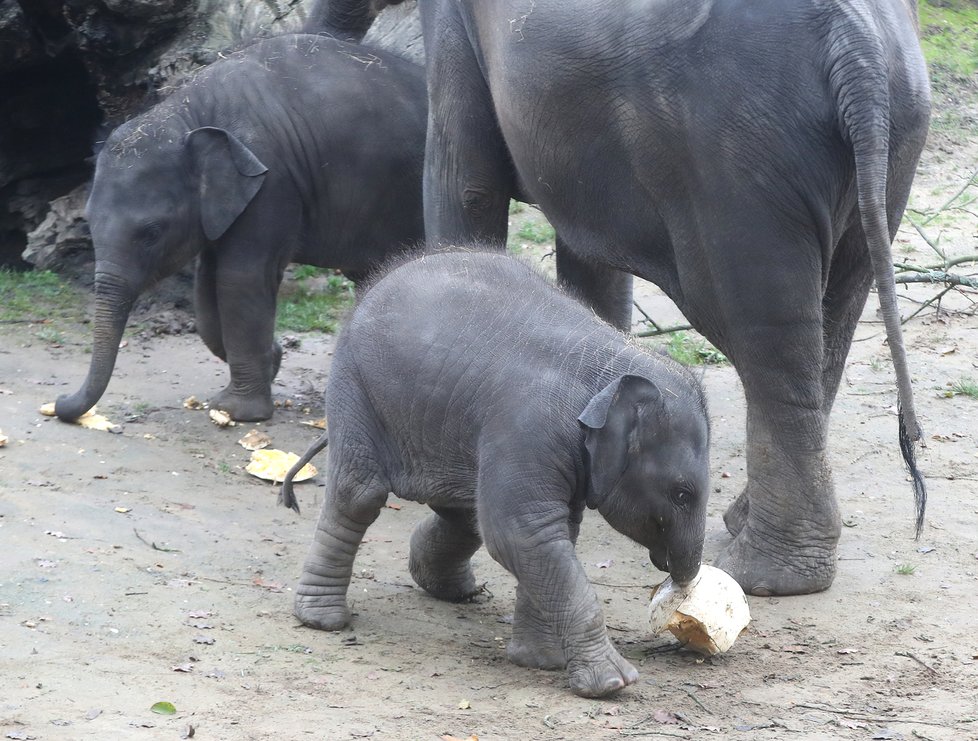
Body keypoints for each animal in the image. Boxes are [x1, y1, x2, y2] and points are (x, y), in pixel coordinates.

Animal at [282, 251, 708, 696]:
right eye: (682, 494)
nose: (683, 585)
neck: (611, 367)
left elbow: (548, 534)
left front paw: (540, 661)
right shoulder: (526, 428)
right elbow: (520, 533)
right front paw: (612, 682)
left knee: (462, 514)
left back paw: (453, 589)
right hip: (354, 385)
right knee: (360, 495)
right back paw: (322, 620)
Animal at [318, 0, 932, 596]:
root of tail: (856, 45)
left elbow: (467, 183)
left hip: (739, 158)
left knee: (768, 339)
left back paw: (763, 574)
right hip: (888, 149)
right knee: (830, 320)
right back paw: (750, 536)